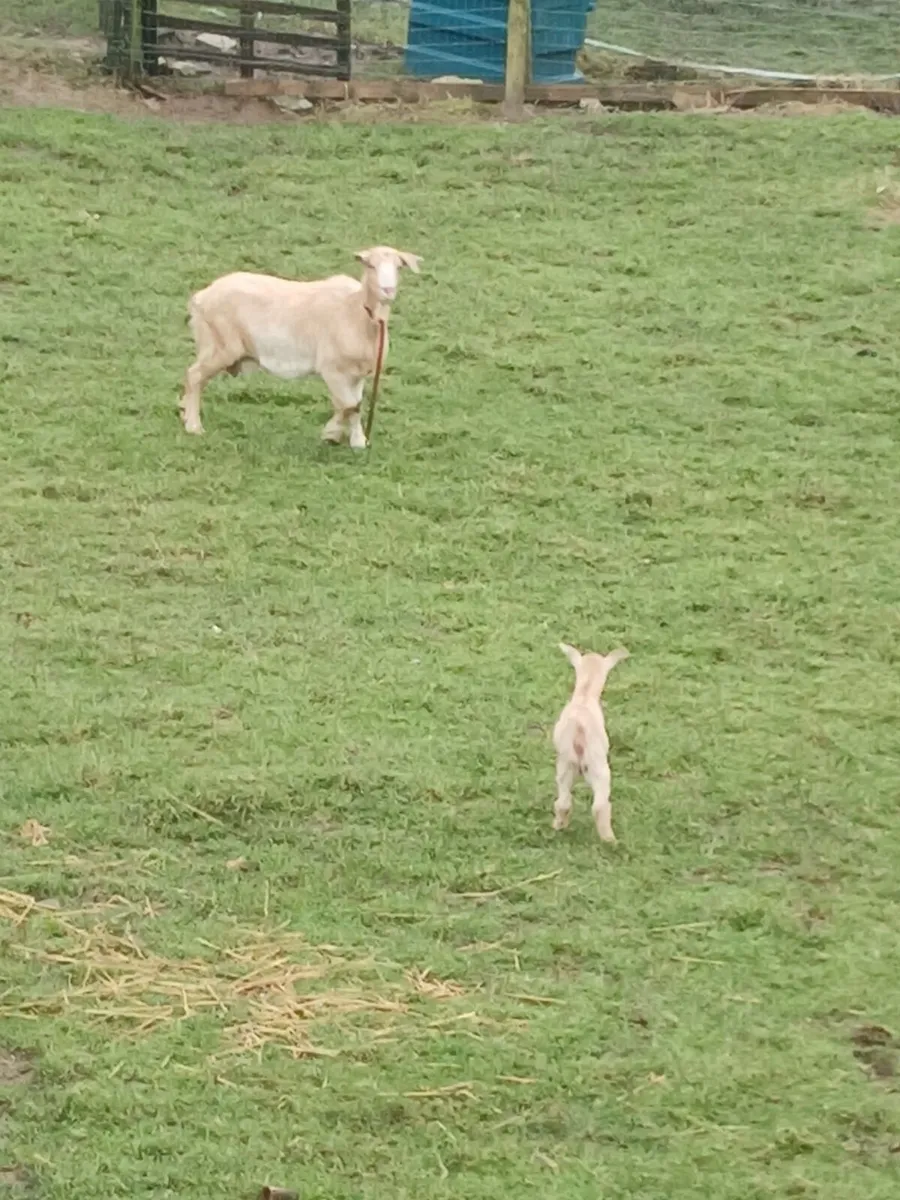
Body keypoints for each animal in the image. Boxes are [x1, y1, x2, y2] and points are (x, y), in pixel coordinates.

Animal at [180, 246, 422, 448]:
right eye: (370, 265)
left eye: (398, 267)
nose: (388, 290)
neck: (358, 311)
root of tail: (201, 297)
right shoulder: (332, 369)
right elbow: (348, 405)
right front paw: (331, 434)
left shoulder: (357, 373)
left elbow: (356, 405)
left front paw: (358, 441)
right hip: (219, 345)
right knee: (194, 376)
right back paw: (193, 426)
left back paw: (185, 414)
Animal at [552, 642, 629, 842]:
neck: (584, 695)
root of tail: (579, 734)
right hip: (599, 768)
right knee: (600, 806)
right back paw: (610, 840)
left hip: (565, 766)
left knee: (563, 802)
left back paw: (558, 826)